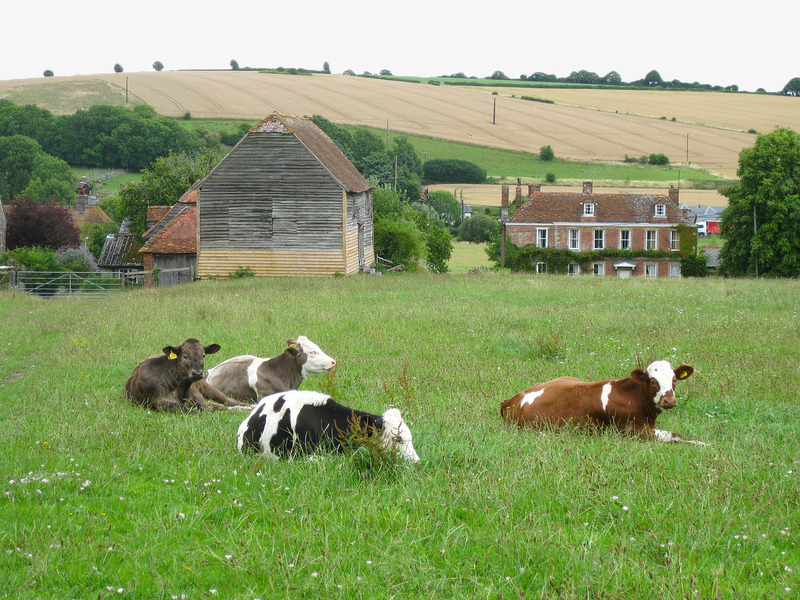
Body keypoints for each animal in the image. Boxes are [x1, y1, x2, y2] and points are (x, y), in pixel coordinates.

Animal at [122, 338, 250, 412]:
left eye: (203, 355)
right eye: (185, 356)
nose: (197, 373)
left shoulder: (195, 395)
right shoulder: (159, 400)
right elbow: (188, 409)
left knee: (228, 401)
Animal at [500, 360, 708, 446]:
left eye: (674, 380)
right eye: (652, 381)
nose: (669, 400)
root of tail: (513, 399)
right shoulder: (633, 430)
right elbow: (675, 435)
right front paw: (704, 443)